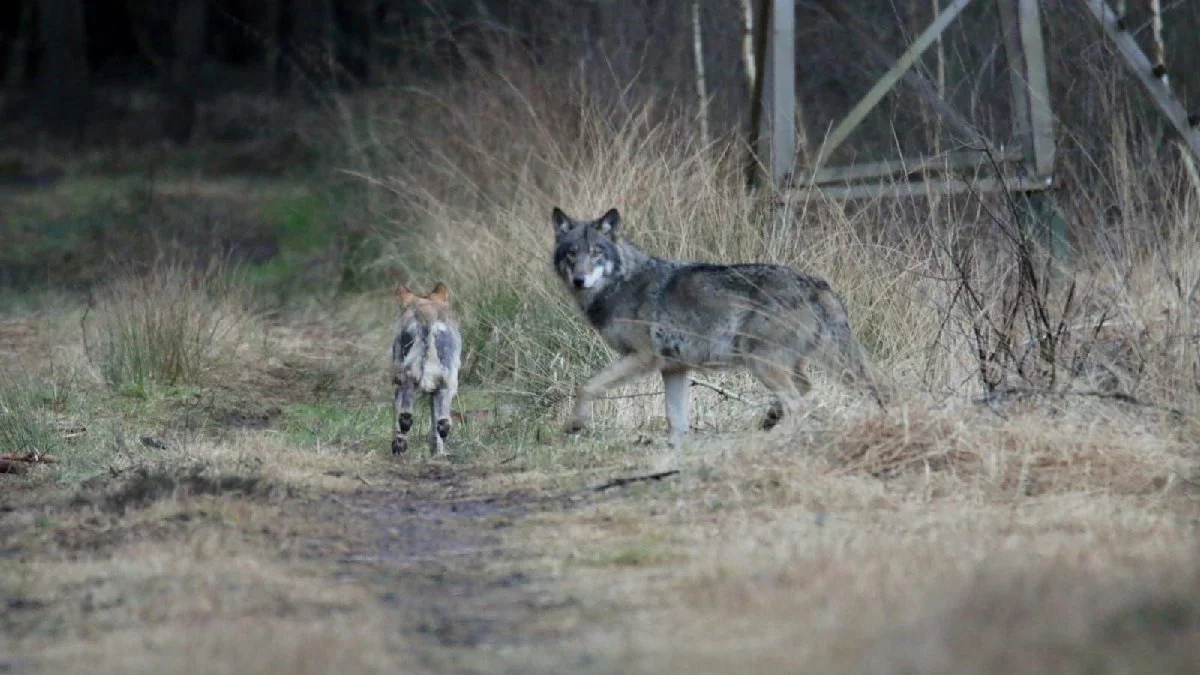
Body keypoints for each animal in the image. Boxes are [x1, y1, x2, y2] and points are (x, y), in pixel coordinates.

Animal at [391, 281, 460, 454]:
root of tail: (426, 313)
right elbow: (434, 424)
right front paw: (435, 451)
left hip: (407, 378)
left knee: (405, 417)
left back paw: (399, 447)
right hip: (447, 382)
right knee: (443, 423)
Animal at [549, 205, 883, 446]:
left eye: (596, 253)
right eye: (572, 254)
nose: (579, 280)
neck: (621, 282)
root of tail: (816, 283)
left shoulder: (643, 357)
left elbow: (587, 385)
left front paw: (575, 423)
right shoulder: (674, 368)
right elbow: (677, 421)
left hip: (761, 362)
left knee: (799, 405)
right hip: (782, 364)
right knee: (805, 391)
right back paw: (772, 418)